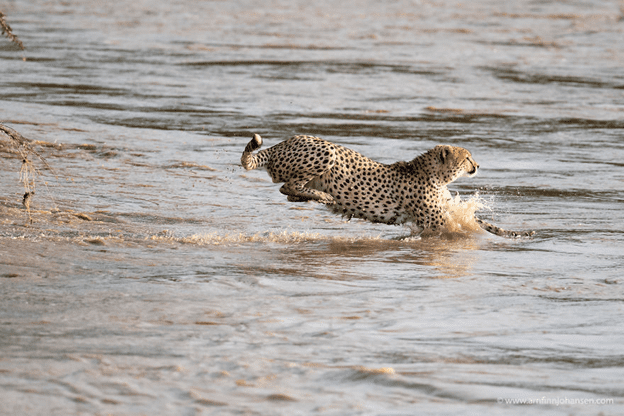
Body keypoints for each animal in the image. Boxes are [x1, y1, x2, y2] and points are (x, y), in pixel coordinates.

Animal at [241, 133, 532, 237]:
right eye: (467, 157)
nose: (478, 165)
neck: (435, 175)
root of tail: (286, 141)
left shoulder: (446, 209)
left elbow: (482, 222)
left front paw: (516, 234)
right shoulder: (437, 220)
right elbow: (463, 226)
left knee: (289, 193)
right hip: (327, 151)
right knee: (287, 187)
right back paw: (324, 197)